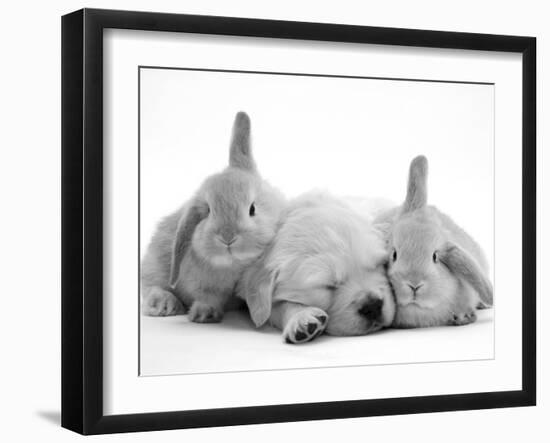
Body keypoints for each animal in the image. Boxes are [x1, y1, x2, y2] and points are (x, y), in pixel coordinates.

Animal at [142, 112, 286, 322]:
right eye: (209, 210)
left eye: (252, 209)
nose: (227, 237)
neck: (234, 266)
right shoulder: (204, 286)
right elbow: (209, 297)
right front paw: (204, 314)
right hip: (154, 265)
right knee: (150, 286)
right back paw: (164, 305)